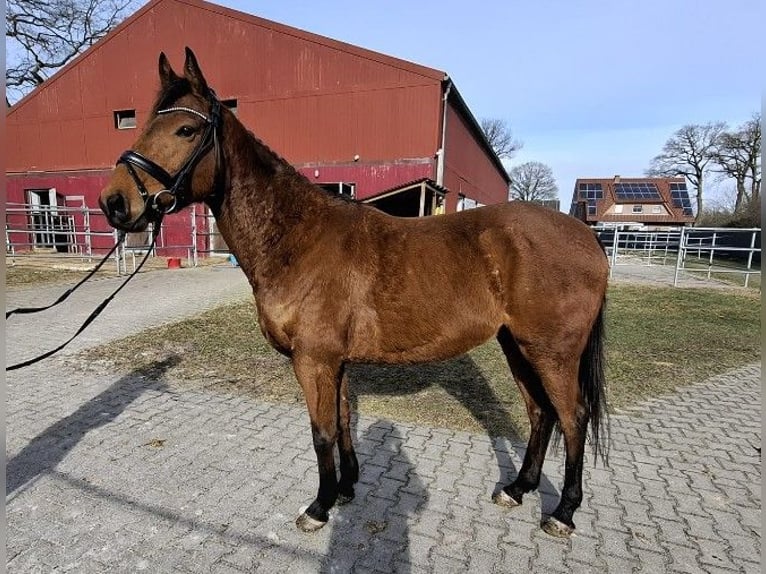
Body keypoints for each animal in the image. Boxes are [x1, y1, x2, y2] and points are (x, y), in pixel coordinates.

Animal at [99, 47, 610, 538]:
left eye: (186, 129)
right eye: (143, 123)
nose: (114, 202)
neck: (297, 239)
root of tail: (588, 239)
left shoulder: (314, 360)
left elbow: (321, 432)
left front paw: (319, 506)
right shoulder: (336, 362)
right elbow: (343, 421)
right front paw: (346, 488)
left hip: (551, 352)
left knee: (573, 417)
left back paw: (563, 512)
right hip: (517, 346)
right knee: (541, 413)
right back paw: (518, 488)